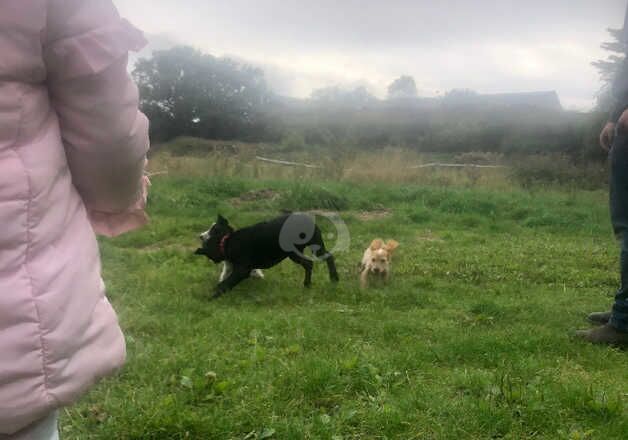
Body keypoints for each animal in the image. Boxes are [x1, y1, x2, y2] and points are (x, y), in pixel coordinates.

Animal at [196, 214, 340, 300]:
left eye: (213, 229)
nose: (200, 236)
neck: (226, 241)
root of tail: (307, 218)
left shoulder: (242, 270)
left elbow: (225, 284)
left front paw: (212, 296)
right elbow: (224, 279)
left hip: (314, 247)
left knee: (329, 257)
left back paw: (334, 278)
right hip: (294, 254)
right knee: (309, 264)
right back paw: (307, 284)